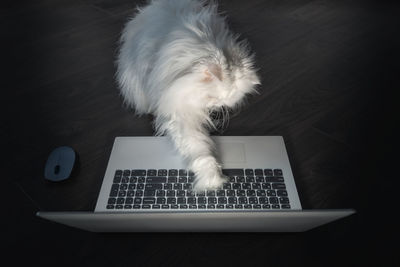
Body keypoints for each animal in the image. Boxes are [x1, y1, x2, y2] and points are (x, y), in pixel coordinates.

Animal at [115, 0, 260, 191]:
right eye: (212, 97)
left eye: (223, 102)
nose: (214, 107)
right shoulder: (179, 112)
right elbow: (199, 149)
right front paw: (212, 180)